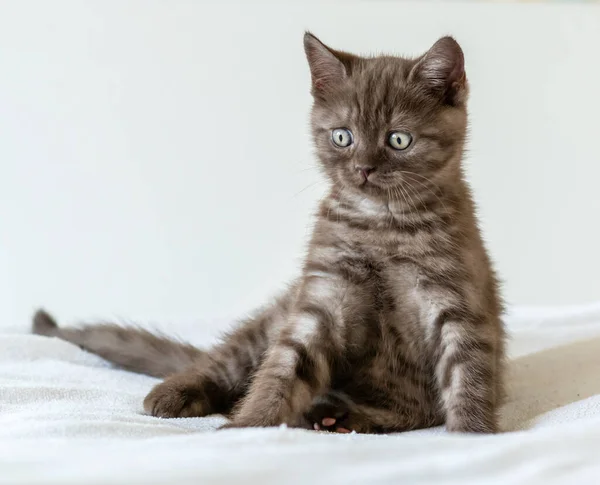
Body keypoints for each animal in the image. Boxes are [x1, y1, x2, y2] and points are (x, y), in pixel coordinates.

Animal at [32, 34, 504, 434]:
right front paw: (247, 427)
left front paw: (470, 436)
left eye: (399, 140)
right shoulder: (320, 301)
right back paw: (178, 392)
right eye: (342, 136)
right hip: (268, 322)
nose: (363, 169)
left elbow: (468, 373)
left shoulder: (455, 301)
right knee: (224, 363)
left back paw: (339, 417)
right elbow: (283, 367)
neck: (381, 226)